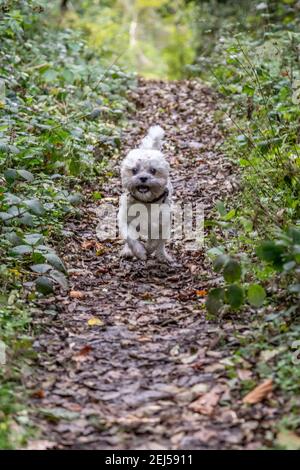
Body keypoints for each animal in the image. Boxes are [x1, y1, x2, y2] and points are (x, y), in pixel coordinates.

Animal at [118, 126, 172, 264]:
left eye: (153, 170)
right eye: (134, 170)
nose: (143, 178)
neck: (146, 202)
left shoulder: (162, 224)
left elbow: (156, 240)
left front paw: (149, 248)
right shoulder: (125, 219)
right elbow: (130, 237)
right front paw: (140, 252)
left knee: (161, 245)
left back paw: (162, 256)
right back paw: (127, 251)